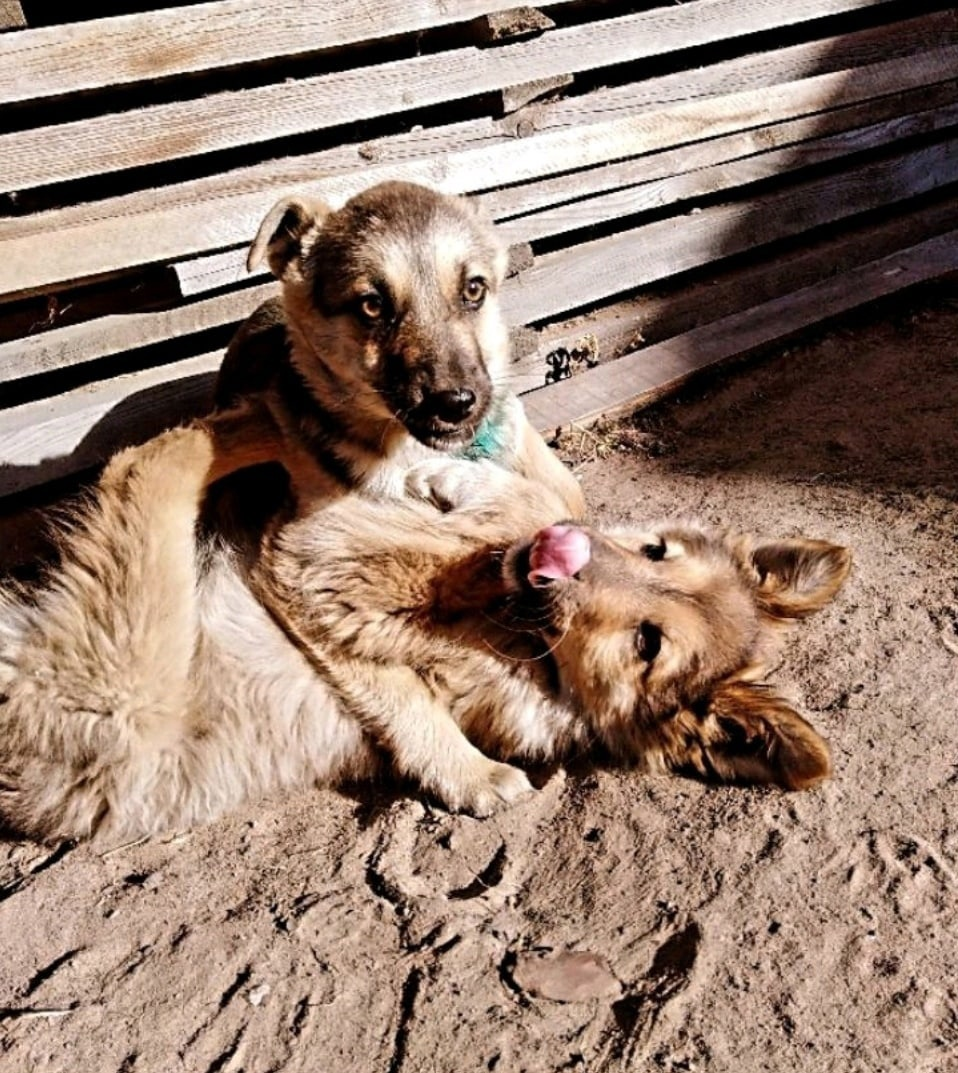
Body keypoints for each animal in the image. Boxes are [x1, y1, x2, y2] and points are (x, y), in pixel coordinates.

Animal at [0, 418, 849, 845]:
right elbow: (555, 488)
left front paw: (473, 777)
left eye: (648, 645)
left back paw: (263, 421)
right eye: (656, 551)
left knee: (146, 458)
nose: (564, 552)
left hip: (127, 670)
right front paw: (465, 479)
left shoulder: (319, 566)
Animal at [214, 180, 583, 515]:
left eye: (474, 289)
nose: (456, 404)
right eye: (372, 305)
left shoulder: (566, 488)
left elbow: (551, 498)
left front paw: (458, 477)